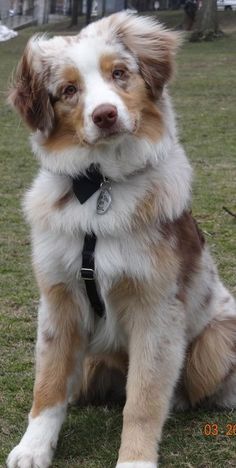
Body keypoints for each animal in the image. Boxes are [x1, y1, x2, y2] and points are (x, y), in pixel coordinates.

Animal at [6, 11, 236, 468]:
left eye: (119, 73)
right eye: (69, 90)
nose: (106, 115)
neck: (99, 187)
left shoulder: (156, 309)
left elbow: (144, 400)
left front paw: (135, 460)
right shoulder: (58, 300)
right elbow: (48, 384)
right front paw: (33, 447)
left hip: (218, 339)